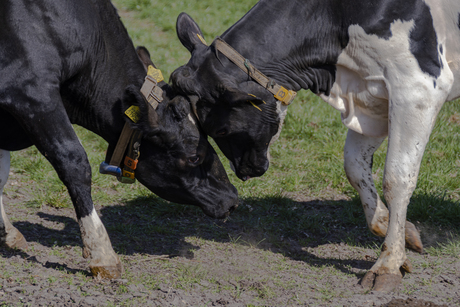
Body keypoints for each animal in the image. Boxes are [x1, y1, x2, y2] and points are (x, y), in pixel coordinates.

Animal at [0, 0, 237, 280]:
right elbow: (74, 163)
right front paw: (102, 255)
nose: (232, 199)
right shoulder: (30, 91)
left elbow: (1, 172)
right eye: (193, 157)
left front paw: (6, 231)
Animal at [170, 0, 460, 294]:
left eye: (220, 129)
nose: (244, 171)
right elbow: (354, 167)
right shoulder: (373, 95)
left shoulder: (417, 88)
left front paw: (387, 264)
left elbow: (396, 178)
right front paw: (400, 232)